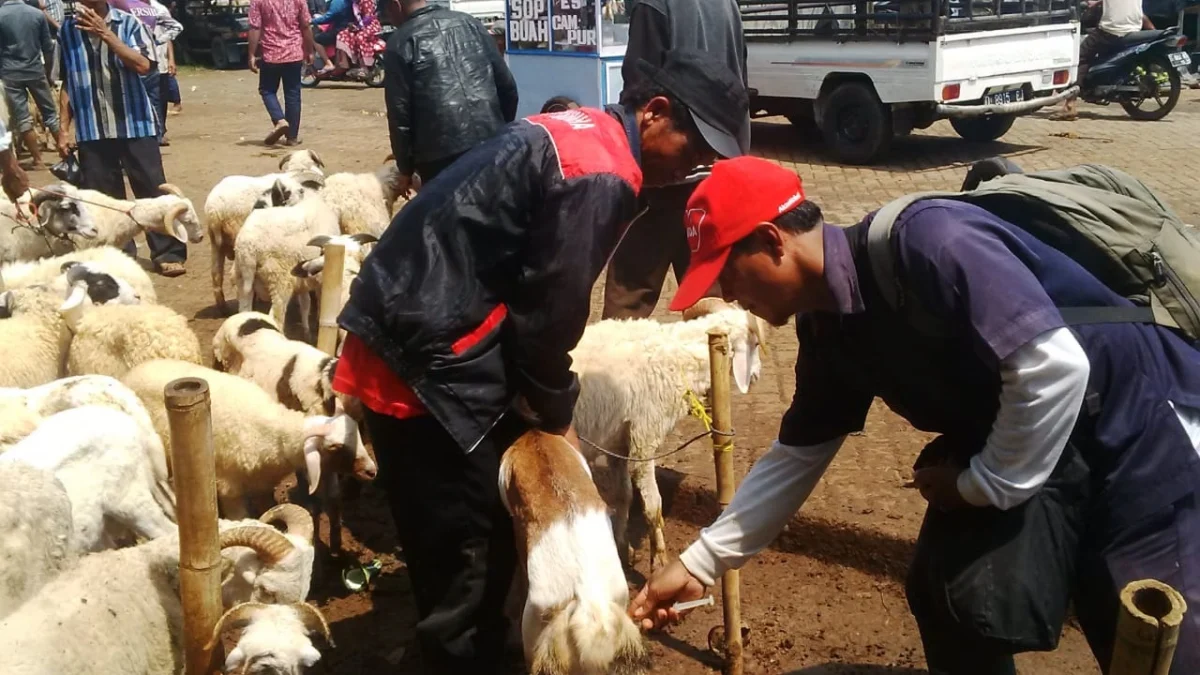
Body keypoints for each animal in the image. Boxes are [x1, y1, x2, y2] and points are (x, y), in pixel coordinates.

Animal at [121, 357, 374, 514]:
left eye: (359, 435)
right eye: (335, 447)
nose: (373, 471)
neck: (273, 434)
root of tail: (133, 372)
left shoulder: (263, 485)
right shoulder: (229, 487)